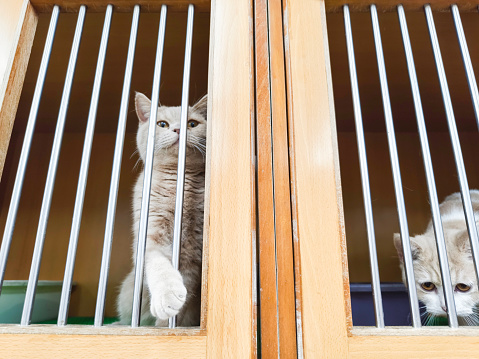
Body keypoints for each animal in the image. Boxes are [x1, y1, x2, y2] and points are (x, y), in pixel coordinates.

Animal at [117, 92, 207, 326]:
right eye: (162, 124)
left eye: (192, 124)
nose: (178, 129)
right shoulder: (150, 233)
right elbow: (158, 265)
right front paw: (167, 297)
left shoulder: (194, 252)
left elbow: (186, 290)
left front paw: (167, 325)